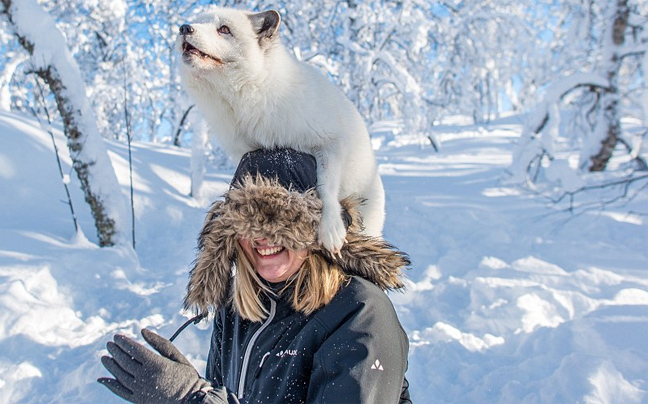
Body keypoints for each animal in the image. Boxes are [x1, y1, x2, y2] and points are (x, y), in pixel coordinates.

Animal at [177, 6, 382, 251]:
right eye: (198, 21)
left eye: (224, 29)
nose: (184, 28)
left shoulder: (331, 142)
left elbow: (326, 187)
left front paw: (331, 227)